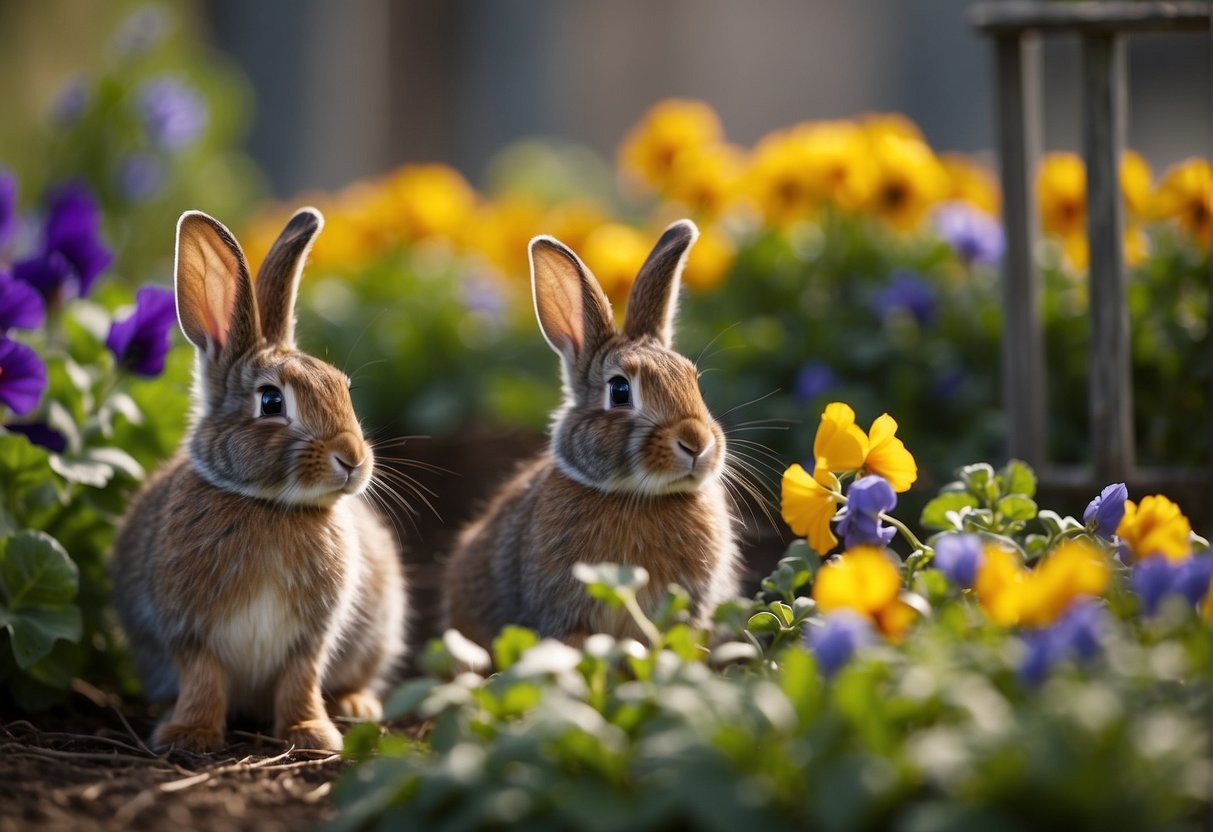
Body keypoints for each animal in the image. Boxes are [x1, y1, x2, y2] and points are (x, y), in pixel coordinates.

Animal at [110, 207, 407, 753]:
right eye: (271, 402)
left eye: (344, 389)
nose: (353, 459)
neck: (268, 505)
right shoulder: (190, 632)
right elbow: (203, 679)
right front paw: (189, 735)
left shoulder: (310, 638)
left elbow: (300, 679)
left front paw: (311, 733)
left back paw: (357, 705)